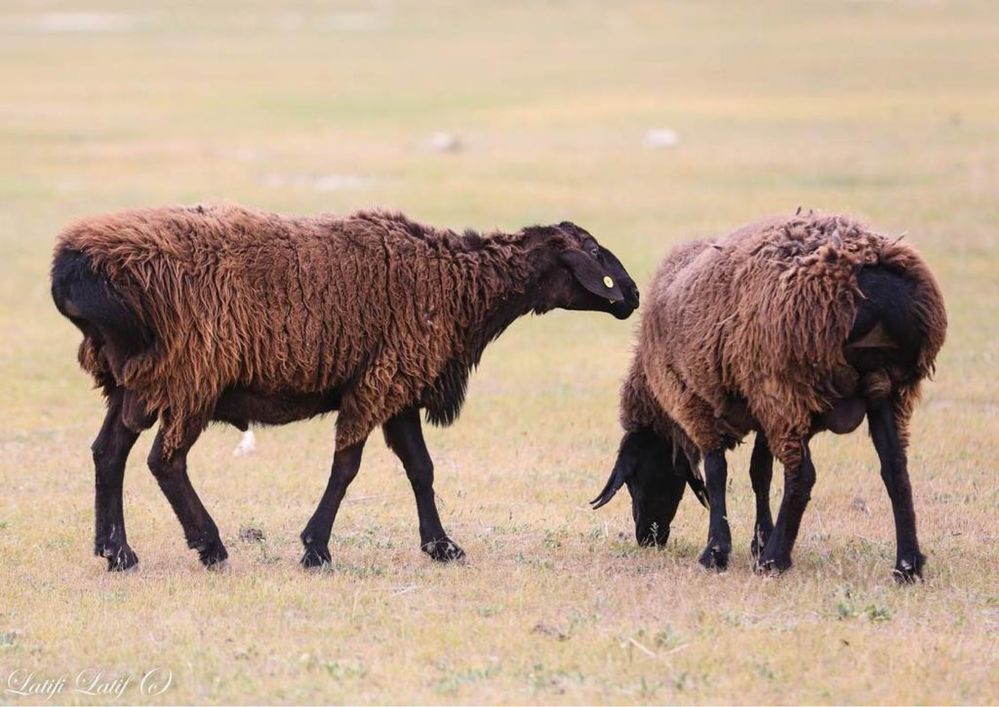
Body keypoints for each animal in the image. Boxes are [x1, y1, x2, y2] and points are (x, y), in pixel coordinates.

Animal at [52, 202, 640, 572]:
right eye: (594, 252)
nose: (633, 295)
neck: (460, 284)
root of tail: (73, 264)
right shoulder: (379, 381)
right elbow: (347, 467)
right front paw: (316, 549)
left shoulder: (399, 385)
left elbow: (421, 469)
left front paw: (441, 545)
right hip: (190, 373)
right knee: (164, 461)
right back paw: (209, 546)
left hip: (136, 378)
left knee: (109, 451)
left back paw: (117, 553)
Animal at [588, 214, 948, 580]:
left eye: (634, 478)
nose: (648, 538)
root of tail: (871, 281)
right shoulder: (760, 411)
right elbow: (759, 473)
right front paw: (758, 539)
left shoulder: (697, 403)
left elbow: (717, 473)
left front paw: (717, 551)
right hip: (884, 390)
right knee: (895, 470)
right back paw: (907, 565)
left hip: (785, 386)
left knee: (803, 475)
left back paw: (774, 560)